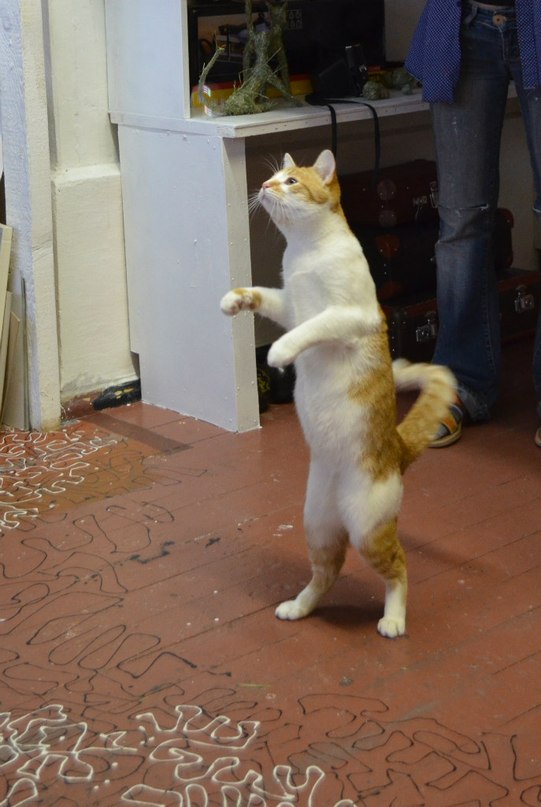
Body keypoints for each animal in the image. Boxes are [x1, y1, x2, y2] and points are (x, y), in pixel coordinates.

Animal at [220, 149, 456, 638]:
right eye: (274, 177)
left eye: (290, 181)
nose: (265, 186)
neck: (304, 252)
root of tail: (398, 449)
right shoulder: (289, 305)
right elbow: (265, 296)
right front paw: (234, 300)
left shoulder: (346, 315)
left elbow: (308, 330)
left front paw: (279, 352)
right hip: (318, 522)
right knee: (327, 570)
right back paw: (299, 606)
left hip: (368, 528)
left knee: (399, 567)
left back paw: (394, 618)